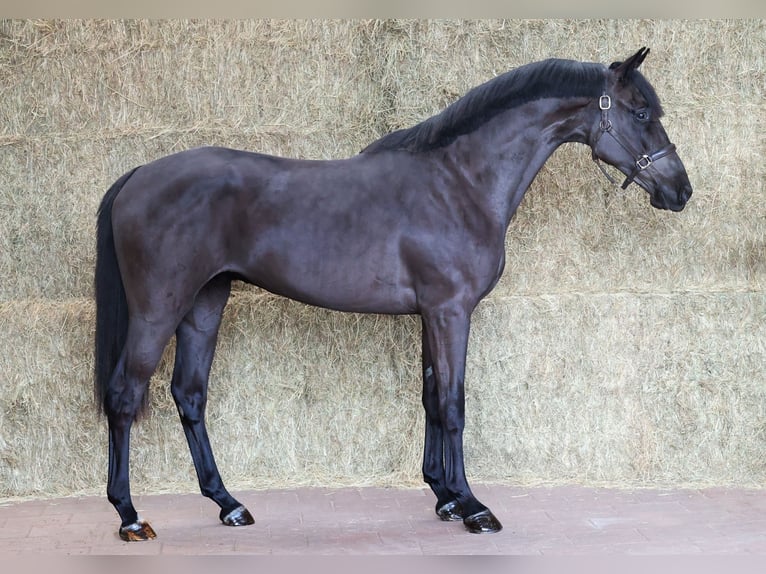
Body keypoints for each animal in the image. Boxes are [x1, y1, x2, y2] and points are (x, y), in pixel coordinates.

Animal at [94, 47, 692, 541]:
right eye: (642, 113)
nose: (680, 190)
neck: (458, 183)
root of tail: (139, 175)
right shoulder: (451, 312)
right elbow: (453, 404)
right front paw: (473, 506)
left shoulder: (431, 314)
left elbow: (430, 396)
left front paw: (444, 496)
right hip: (159, 309)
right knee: (124, 396)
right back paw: (129, 516)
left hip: (204, 303)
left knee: (190, 395)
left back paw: (229, 504)